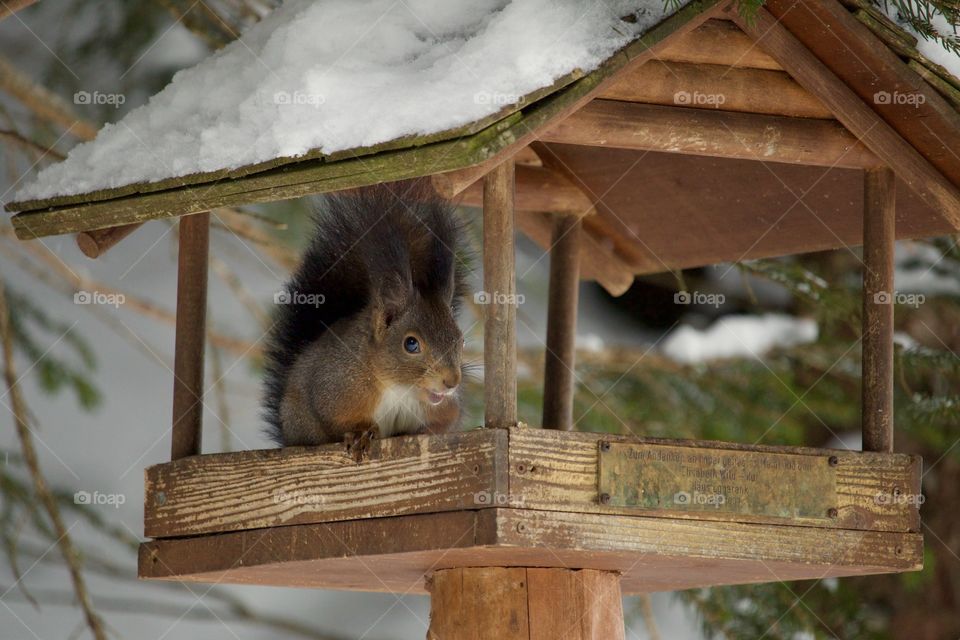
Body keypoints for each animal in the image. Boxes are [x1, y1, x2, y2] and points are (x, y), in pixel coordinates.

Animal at [262, 180, 472, 460]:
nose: (451, 382)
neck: (399, 389)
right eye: (411, 344)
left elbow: (445, 422)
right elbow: (334, 417)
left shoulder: (444, 408)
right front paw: (361, 433)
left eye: (461, 341)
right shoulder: (335, 387)